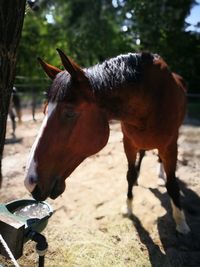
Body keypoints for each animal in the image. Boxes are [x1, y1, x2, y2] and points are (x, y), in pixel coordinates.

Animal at [25, 49, 191, 236]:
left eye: (69, 113)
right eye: (44, 110)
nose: (30, 182)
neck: (152, 100)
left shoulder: (170, 146)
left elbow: (172, 184)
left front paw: (181, 222)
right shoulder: (129, 144)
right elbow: (129, 174)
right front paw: (128, 208)